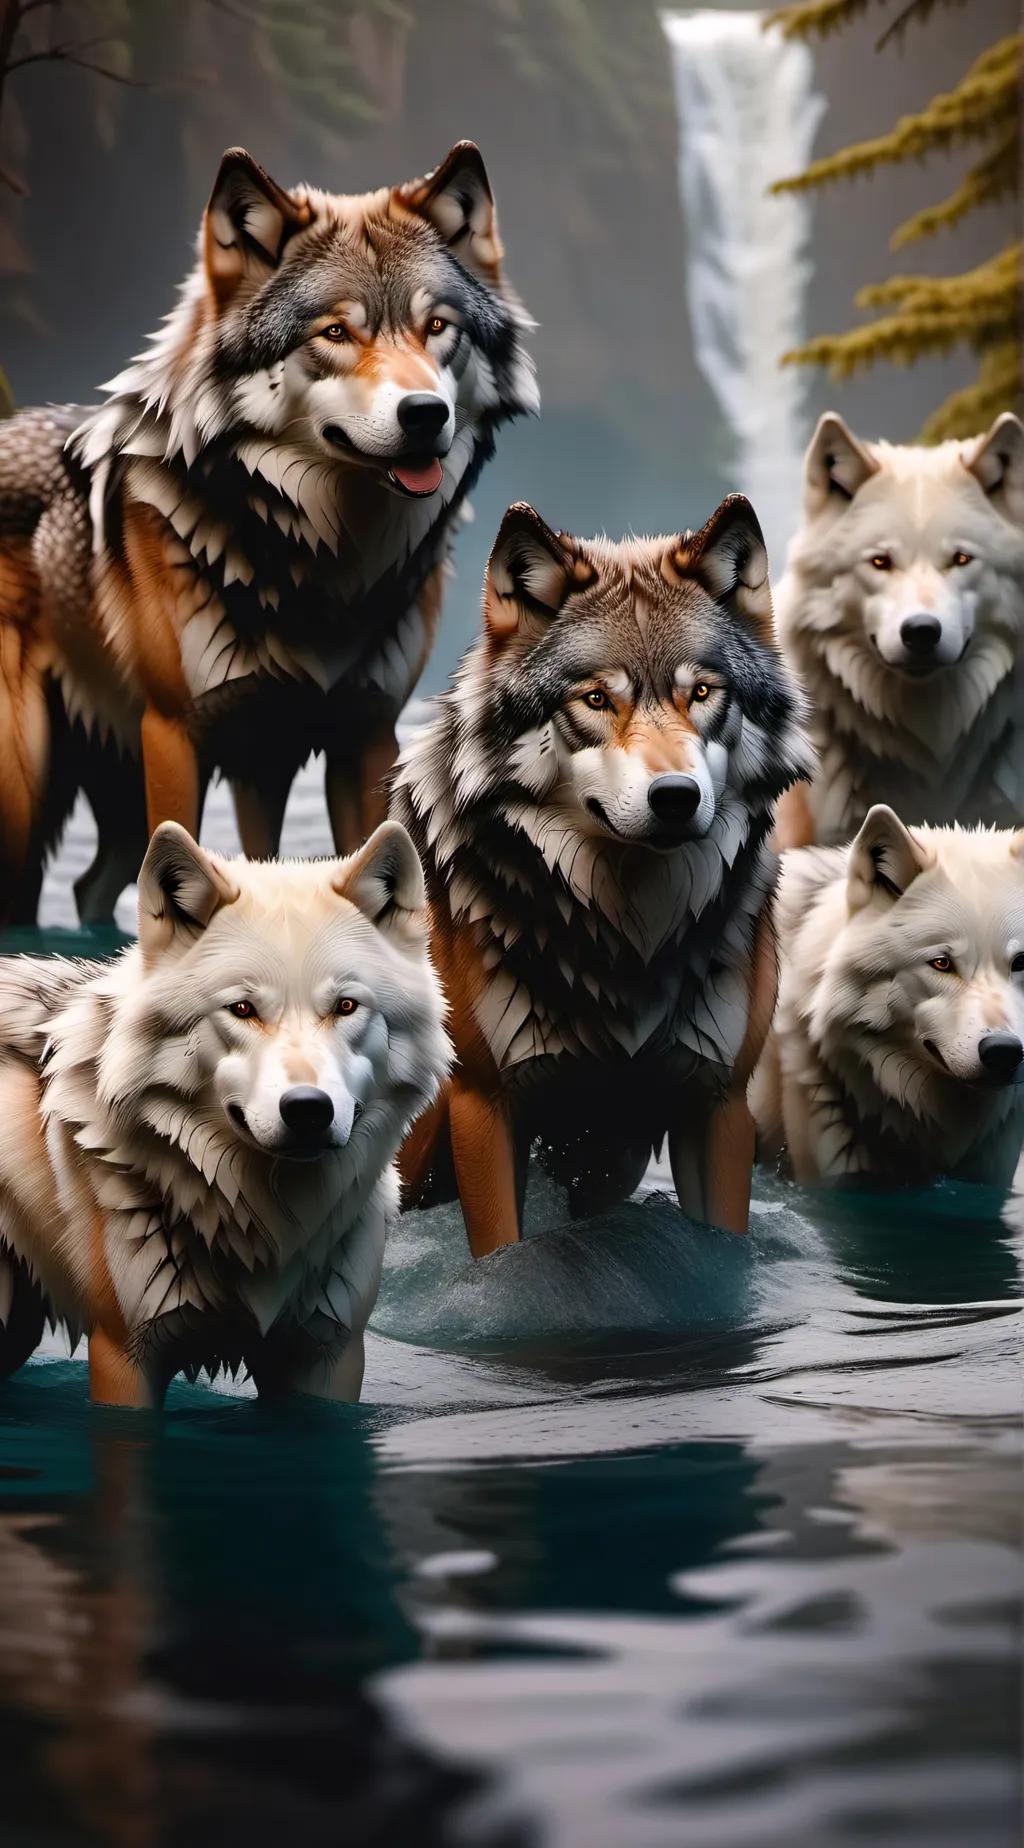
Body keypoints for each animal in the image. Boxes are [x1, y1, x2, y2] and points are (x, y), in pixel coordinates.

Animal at [0, 140, 536, 924]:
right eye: (336, 333)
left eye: (437, 328)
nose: (424, 414)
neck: (321, 563)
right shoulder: (176, 736)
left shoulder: (352, 739)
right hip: (24, 798)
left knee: (87, 887)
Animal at [0, 819, 451, 1405]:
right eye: (242, 1009)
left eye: (346, 1006)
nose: (308, 1110)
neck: (269, 1226)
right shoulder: (125, 1357)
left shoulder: (328, 1356)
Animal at [393, 495, 813, 1255]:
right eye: (595, 700)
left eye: (701, 692)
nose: (675, 796)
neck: (631, 935)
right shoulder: (485, 1107)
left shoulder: (718, 1104)